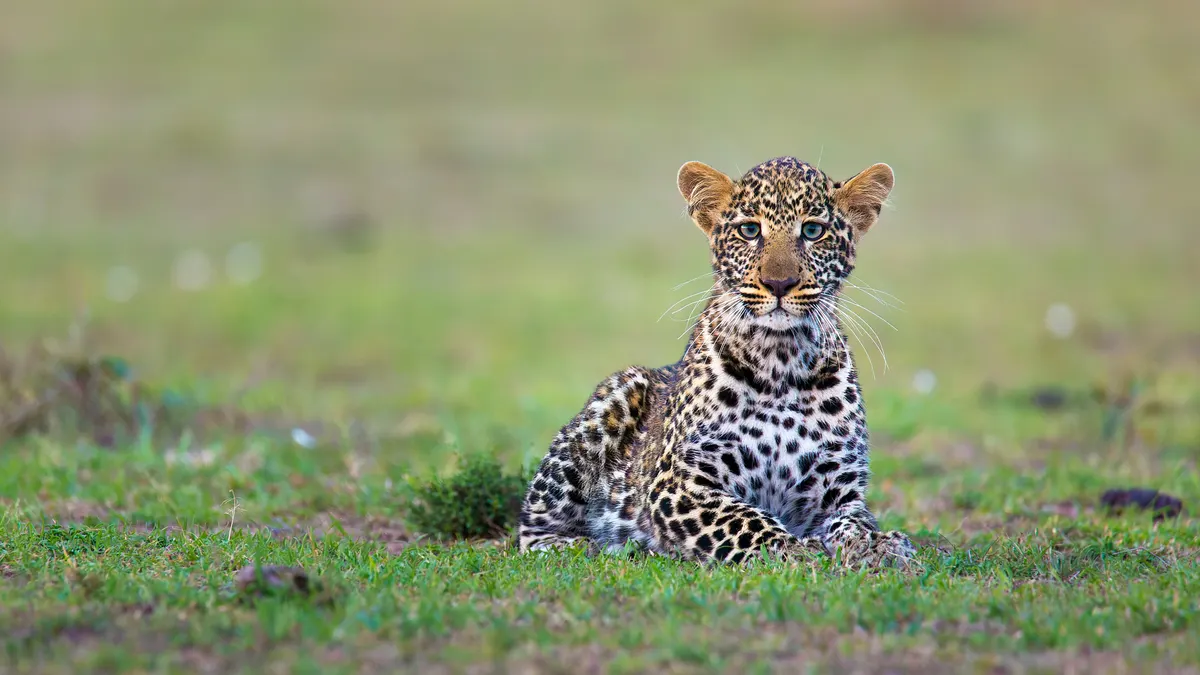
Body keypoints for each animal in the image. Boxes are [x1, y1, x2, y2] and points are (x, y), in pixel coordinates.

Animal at [517, 155, 917, 569]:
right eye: (749, 230)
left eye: (812, 231)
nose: (779, 284)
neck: (781, 362)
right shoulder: (678, 482)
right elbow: (745, 520)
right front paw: (794, 551)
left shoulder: (838, 492)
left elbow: (856, 522)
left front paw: (878, 546)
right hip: (610, 403)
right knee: (533, 527)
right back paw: (598, 547)